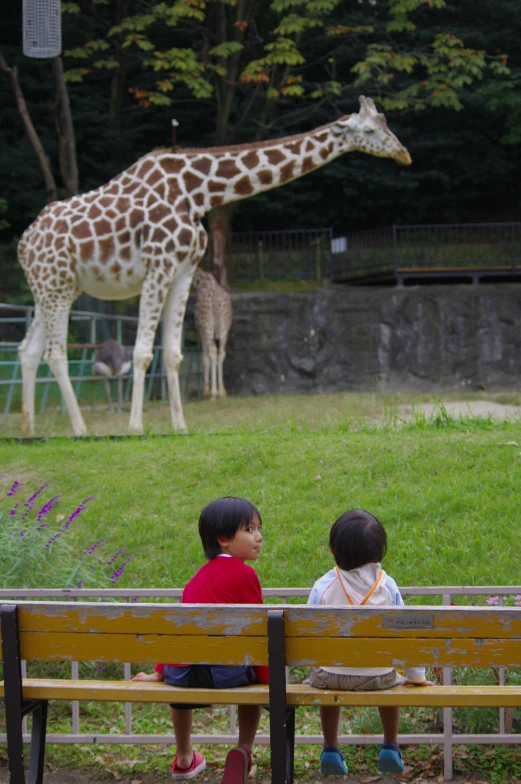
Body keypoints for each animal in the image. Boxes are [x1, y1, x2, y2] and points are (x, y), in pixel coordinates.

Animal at [191, 268, 232, 398]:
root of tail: (216, 302)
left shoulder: (201, 330)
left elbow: (205, 358)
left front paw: (206, 391)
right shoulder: (216, 332)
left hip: (207, 325)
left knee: (213, 351)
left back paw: (213, 392)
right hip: (224, 327)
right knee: (222, 352)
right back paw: (222, 390)